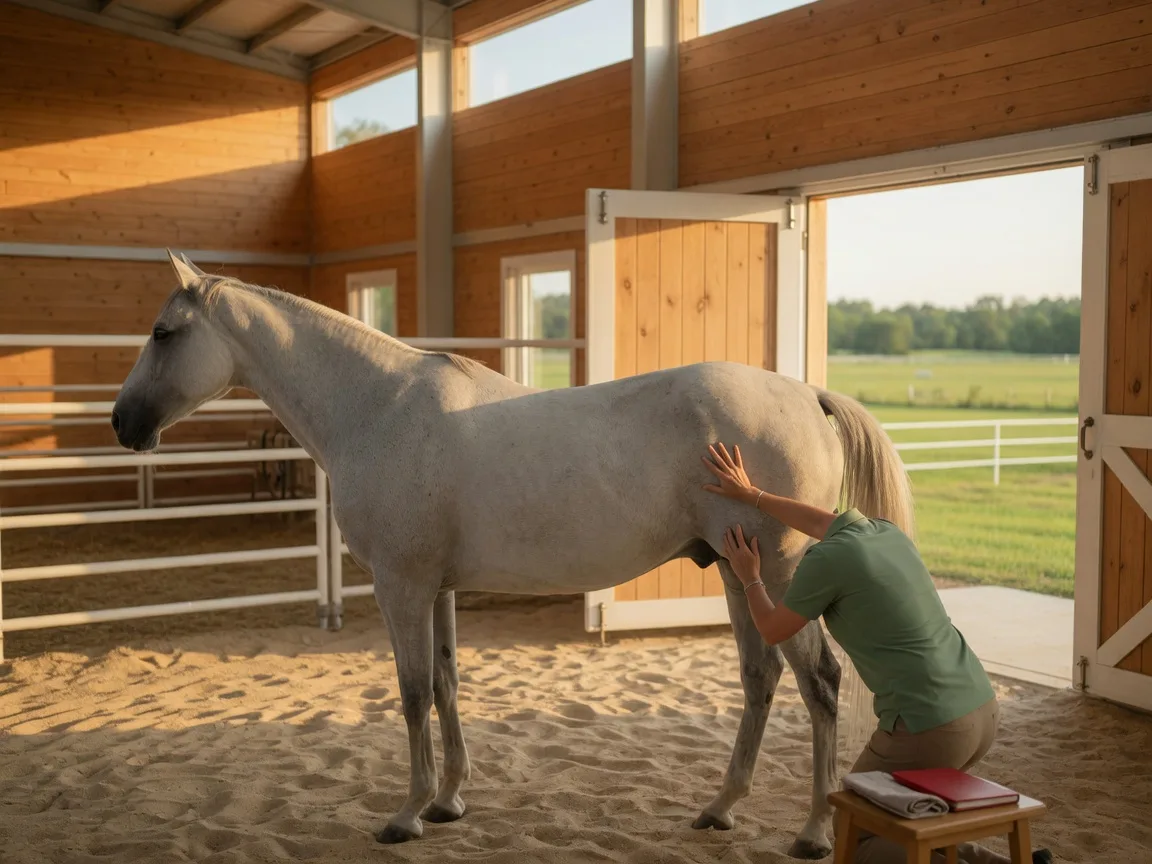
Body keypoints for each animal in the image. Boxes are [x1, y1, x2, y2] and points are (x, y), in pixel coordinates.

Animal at [111, 251, 914, 858]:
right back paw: (720, 808)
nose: (122, 422)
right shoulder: (438, 589)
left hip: (777, 574)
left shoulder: (402, 587)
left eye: (162, 332)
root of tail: (805, 395)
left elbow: (410, 693)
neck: (377, 407)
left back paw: (812, 832)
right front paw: (448, 801)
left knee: (820, 682)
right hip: (736, 572)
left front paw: (406, 814)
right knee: (760, 677)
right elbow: (446, 683)